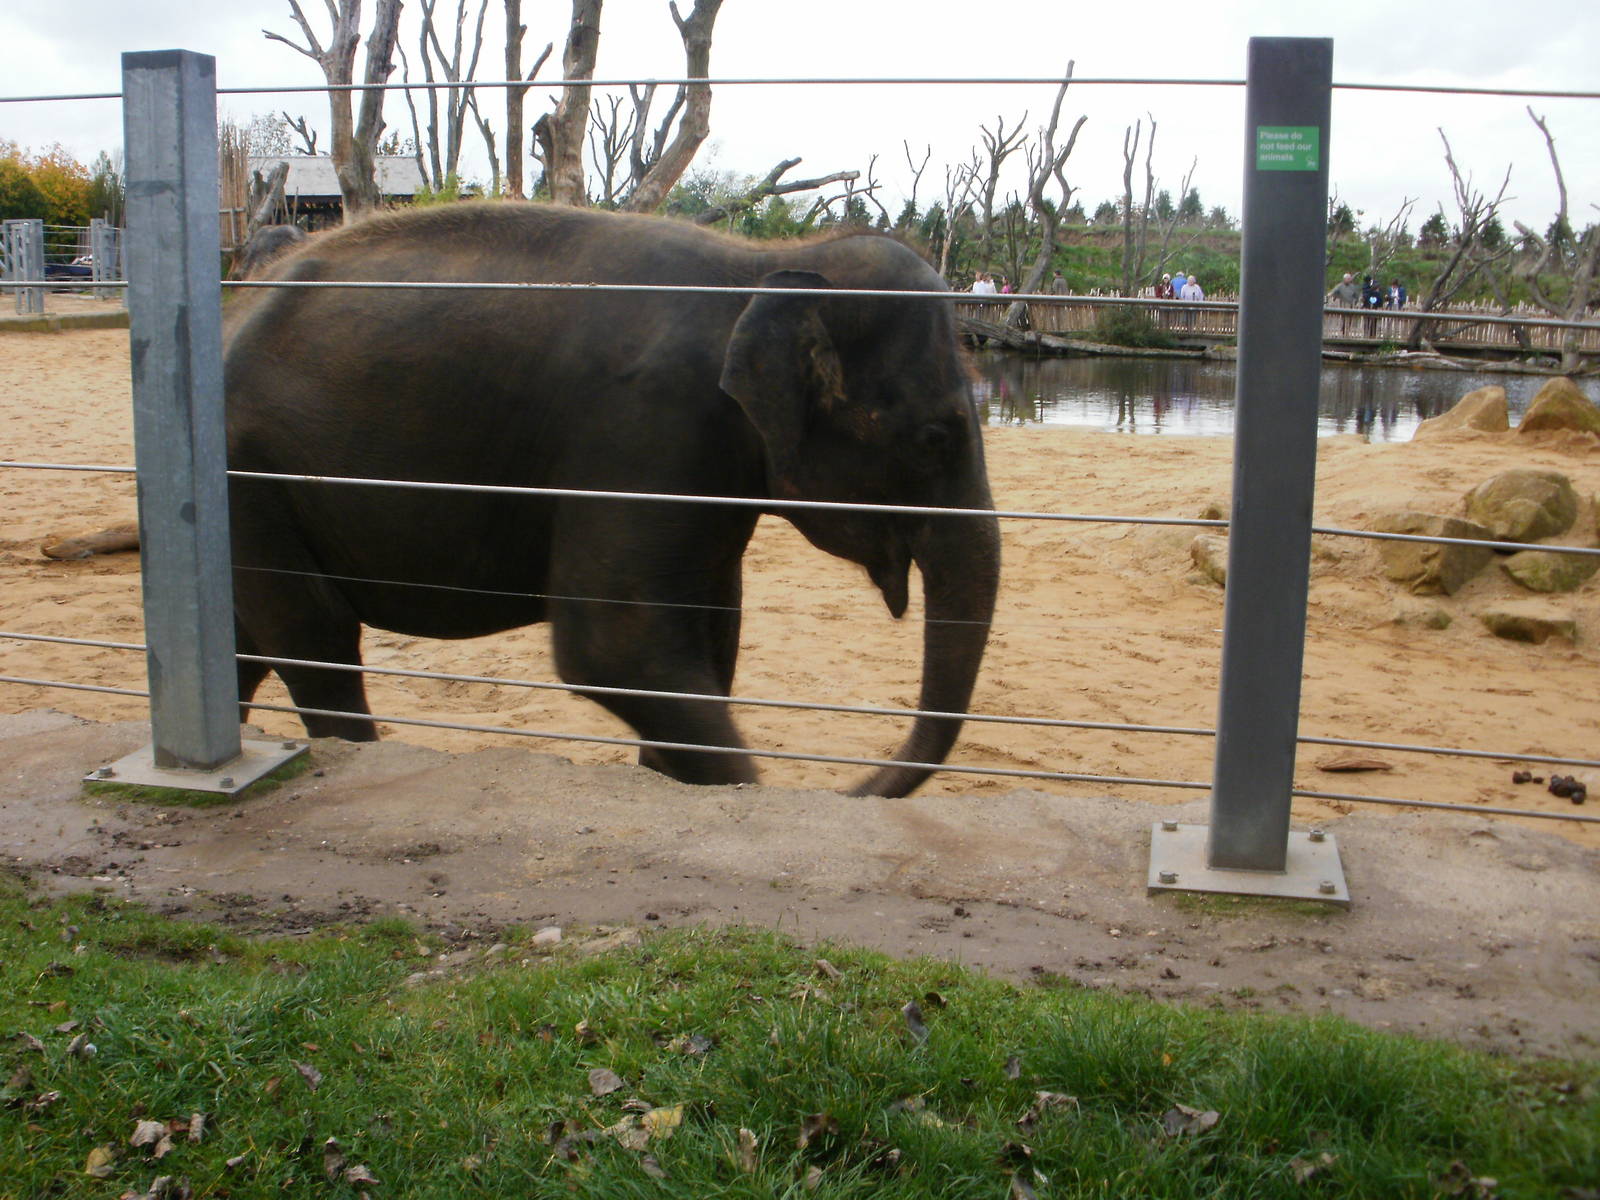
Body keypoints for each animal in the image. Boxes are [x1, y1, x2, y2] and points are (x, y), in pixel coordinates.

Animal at [223, 202, 1000, 798]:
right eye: (934, 438)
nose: (852, 790)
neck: (763, 266)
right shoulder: (643, 426)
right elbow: (614, 647)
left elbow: (711, 636)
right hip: (249, 477)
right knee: (313, 636)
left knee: (246, 644)